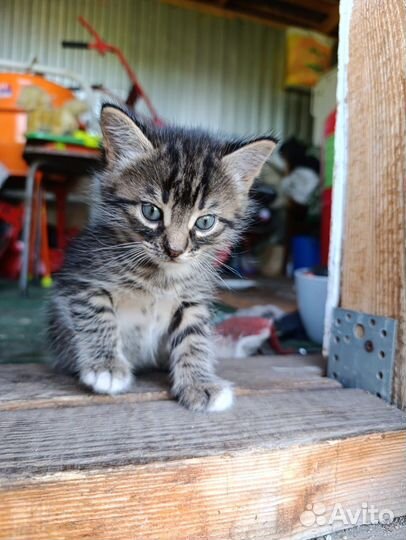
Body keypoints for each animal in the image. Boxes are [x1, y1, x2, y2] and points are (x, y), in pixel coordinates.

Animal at [46, 104, 276, 410]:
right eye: (151, 212)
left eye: (205, 222)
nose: (175, 250)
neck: (159, 275)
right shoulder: (83, 276)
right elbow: (97, 313)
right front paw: (106, 367)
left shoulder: (193, 298)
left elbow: (193, 337)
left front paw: (200, 382)